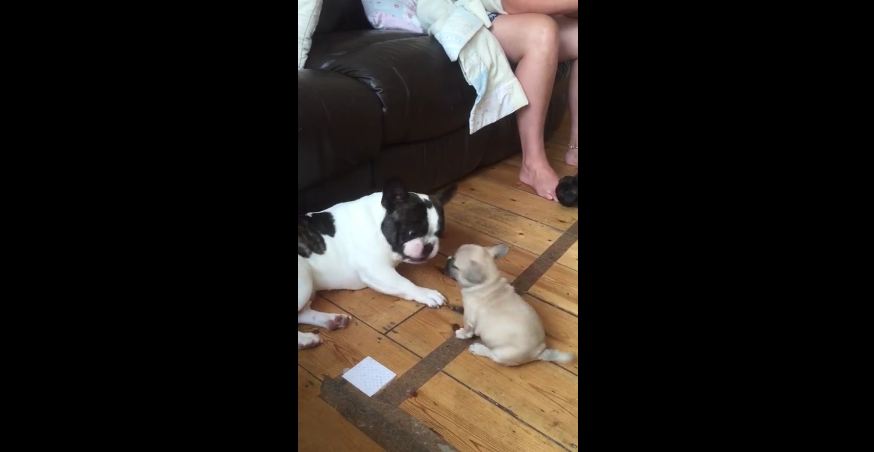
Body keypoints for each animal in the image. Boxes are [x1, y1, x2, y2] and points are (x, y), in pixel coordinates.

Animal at [442, 244, 572, 368]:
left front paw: (462, 334)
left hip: (502, 353)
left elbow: (468, 330)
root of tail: (539, 352)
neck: (489, 283)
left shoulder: (469, 318)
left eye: (455, 265)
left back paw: (478, 349)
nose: (448, 258)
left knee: (493, 355)